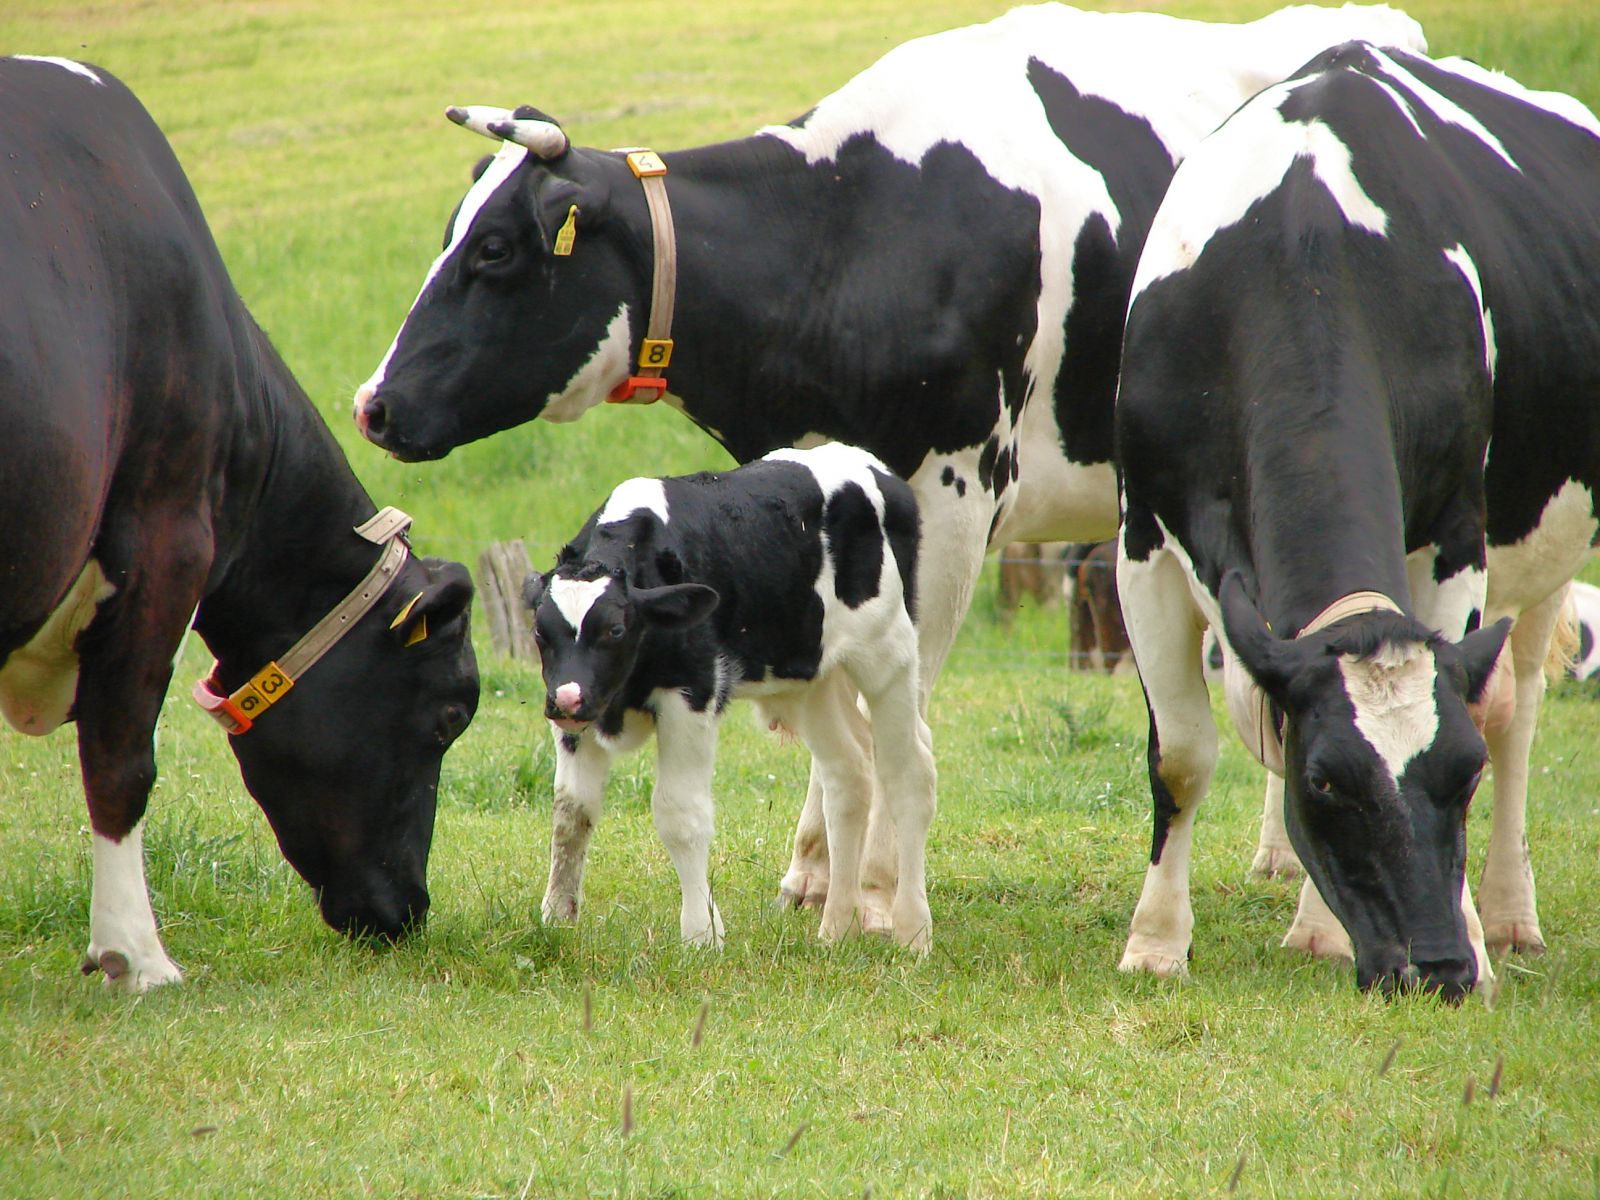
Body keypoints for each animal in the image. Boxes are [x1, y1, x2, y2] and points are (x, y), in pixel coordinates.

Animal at [524, 448, 934, 953]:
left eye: (615, 630)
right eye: (540, 633)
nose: (566, 700)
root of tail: (875, 468)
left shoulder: (691, 692)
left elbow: (680, 813)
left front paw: (702, 933)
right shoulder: (582, 715)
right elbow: (571, 811)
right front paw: (557, 914)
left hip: (889, 653)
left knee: (908, 774)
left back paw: (913, 930)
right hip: (811, 679)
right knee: (849, 774)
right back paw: (837, 928)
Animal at [1113, 42, 1600, 998]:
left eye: (1459, 776)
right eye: (1326, 782)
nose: (1437, 967)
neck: (1304, 256)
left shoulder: (1456, 535)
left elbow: (1484, 720)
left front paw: (1461, 942)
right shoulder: (1143, 537)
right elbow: (1182, 754)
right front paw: (1155, 944)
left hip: (1545, 550)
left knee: (1517, 710)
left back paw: (1505, 915)